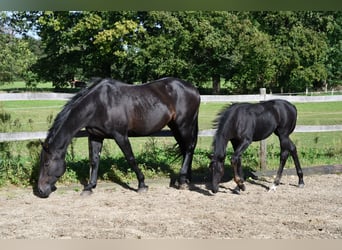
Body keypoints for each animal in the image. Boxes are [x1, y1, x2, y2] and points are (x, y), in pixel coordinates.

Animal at [36, 76, 200, 197]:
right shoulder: (95, 136)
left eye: (46, 163)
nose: (41, 191)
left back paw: (183, 181)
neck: (98, 104)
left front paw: (142, 185)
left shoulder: (120, 135)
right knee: (186, 149)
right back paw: (186, 179)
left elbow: (130, 158)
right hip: (175, 126)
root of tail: (193, 89)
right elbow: (94, 161)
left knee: (189, 148)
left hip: (184, 125)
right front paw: (89, 187)